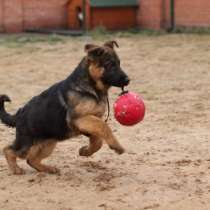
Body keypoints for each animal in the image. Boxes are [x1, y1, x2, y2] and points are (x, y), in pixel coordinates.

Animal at [0, 40, 130, 175]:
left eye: (119, 63)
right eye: (110, 64)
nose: (128, 80)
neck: (90, 87)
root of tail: (18, 114)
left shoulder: (92, 120)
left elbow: (97, 141)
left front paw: (85, 151)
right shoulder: (79, 118)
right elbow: (104, 126)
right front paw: (116, 146)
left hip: (48, 143)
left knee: (31, 159)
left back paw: (48, 169)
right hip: (27, 143)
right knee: (8, 150)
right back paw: (16, 169)